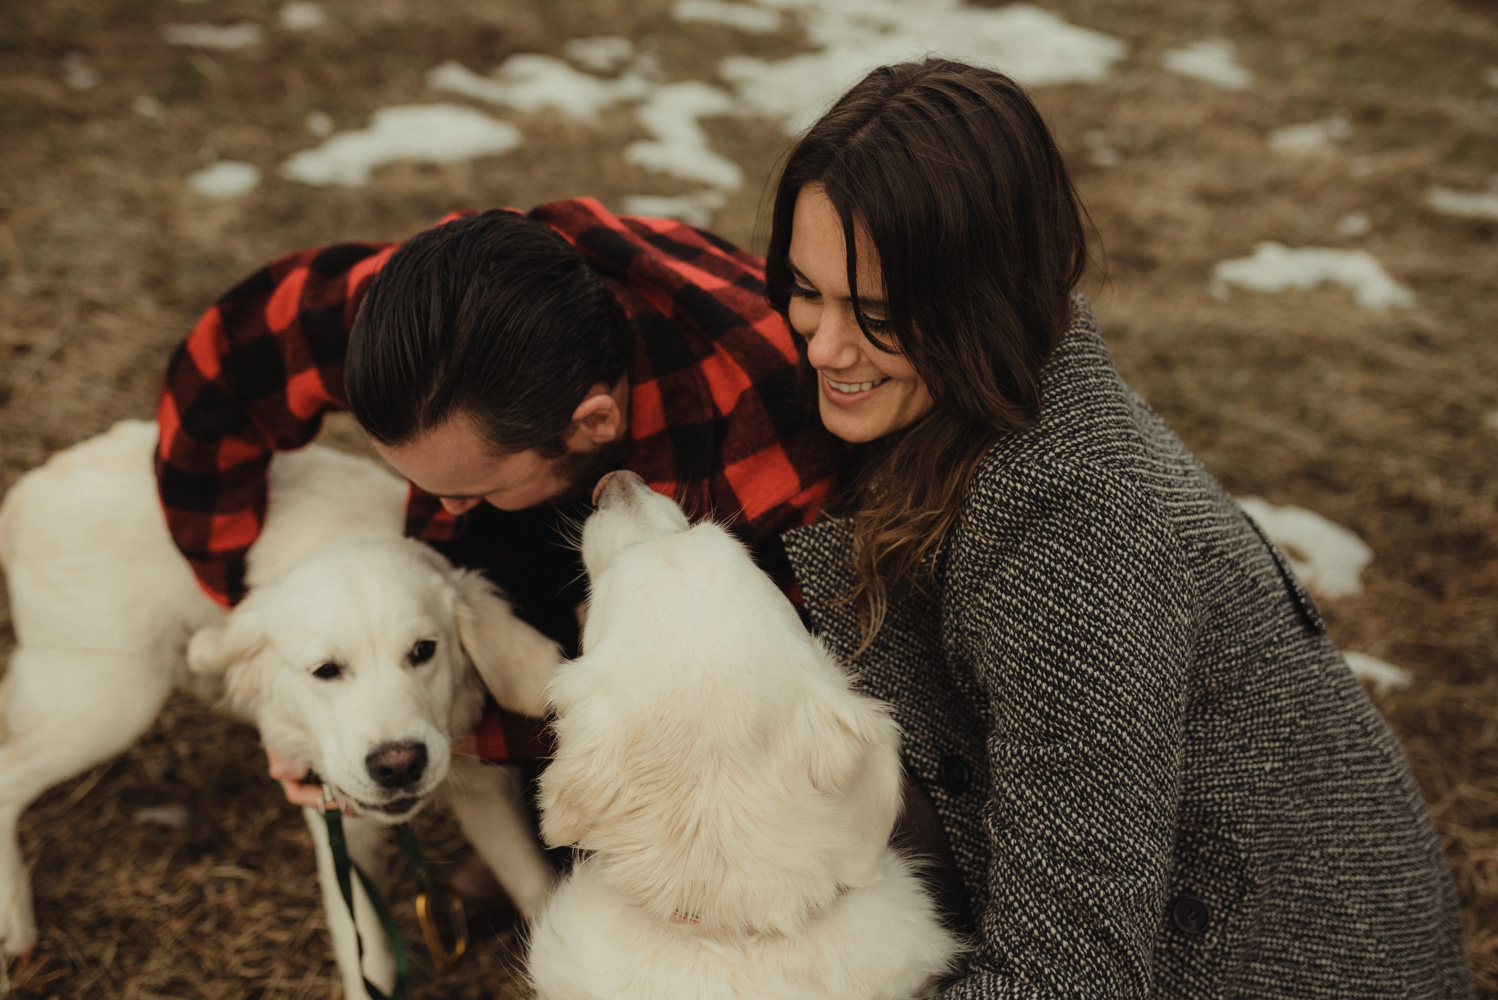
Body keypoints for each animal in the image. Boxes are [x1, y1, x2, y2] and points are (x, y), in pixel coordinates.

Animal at [0, 419, 560, 999]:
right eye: (326, 670)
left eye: (423, 651)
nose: (398, 765)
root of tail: (27, 489)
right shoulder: (335, 817)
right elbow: (372, 959)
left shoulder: (485, 785)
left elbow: (537, 889)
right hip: (106, 700)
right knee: (8, 774)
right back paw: (17, 922)